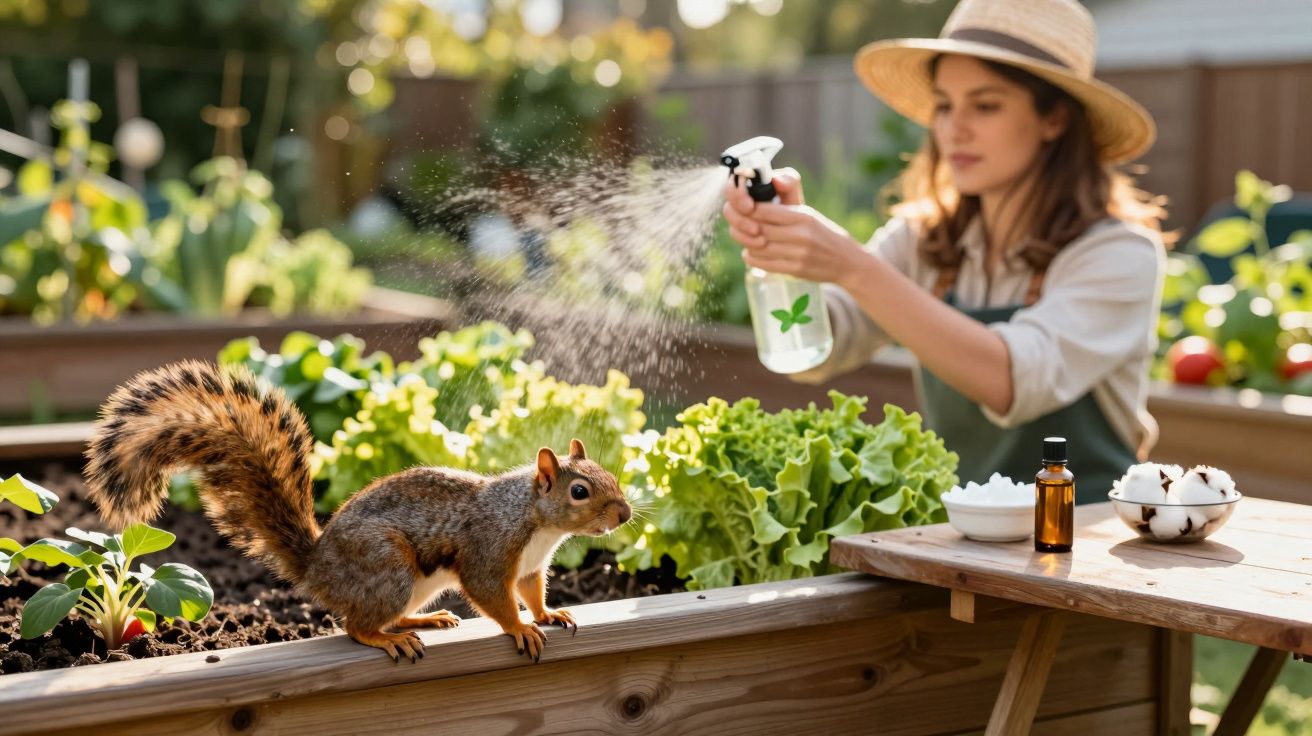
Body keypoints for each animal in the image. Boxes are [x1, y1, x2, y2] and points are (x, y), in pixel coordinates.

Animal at [83, 359, 632, 663]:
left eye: (610, 474)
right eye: (580, 491)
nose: (625, 514)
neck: (536, 523)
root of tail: (318, 568)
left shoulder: (531, 567)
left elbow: (532, 593)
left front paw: (548, 613)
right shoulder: (490, 551)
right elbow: (492, 597)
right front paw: (519, 628)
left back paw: (423, 622)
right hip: (387, 567)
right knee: (355, 626)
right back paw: (390, 640)